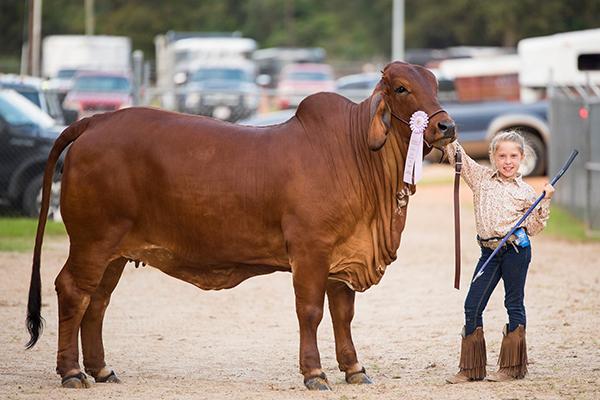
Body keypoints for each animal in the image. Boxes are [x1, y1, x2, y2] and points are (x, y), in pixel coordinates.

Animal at [23, 61, 454, 390]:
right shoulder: (310, 251)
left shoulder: (343, 257)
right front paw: (314, 373)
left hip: (115, 251)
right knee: (72, 292)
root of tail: (94, 122)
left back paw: (101, 369)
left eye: (435, 85)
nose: (446, 126)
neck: (355, 154)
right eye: (401, 88)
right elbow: (311, 311)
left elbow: (342, 314)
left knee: (97, 302)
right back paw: (71, 372)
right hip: (92, 241)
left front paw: (354, 369)